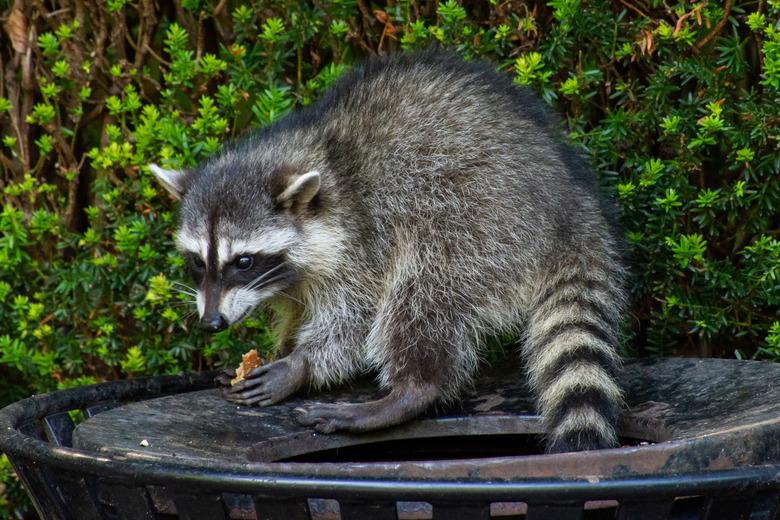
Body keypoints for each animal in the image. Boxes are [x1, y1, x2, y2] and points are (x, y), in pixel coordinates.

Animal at [151, 50, 628, 452]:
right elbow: (296, 310)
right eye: (197, 262)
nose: (211, 323)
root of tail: (572, 205)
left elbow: (355, 317)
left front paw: (301, 364)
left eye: (244, 261)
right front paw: (281, 348)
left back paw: (411, 389)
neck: (320, 153)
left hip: (480, 220)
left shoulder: (363, 238)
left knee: (423, 292)